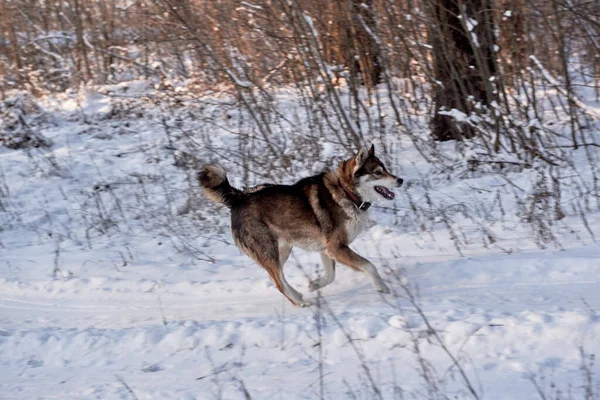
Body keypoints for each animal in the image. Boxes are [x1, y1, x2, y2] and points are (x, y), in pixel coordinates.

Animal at [200, 145, 404, 308]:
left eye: (385, 169)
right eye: (378, 172)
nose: (400, 180)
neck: (348, 193)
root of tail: (239, 198)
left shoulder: (327, 250)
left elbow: (330, 276)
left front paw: (314, 284)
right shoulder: (336, 247)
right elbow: (370, 266)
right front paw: (382, 286)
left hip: (282, 250)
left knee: (276, 277)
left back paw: (298, 295)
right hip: (269, 251)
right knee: (278, 281)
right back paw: (300, 302)